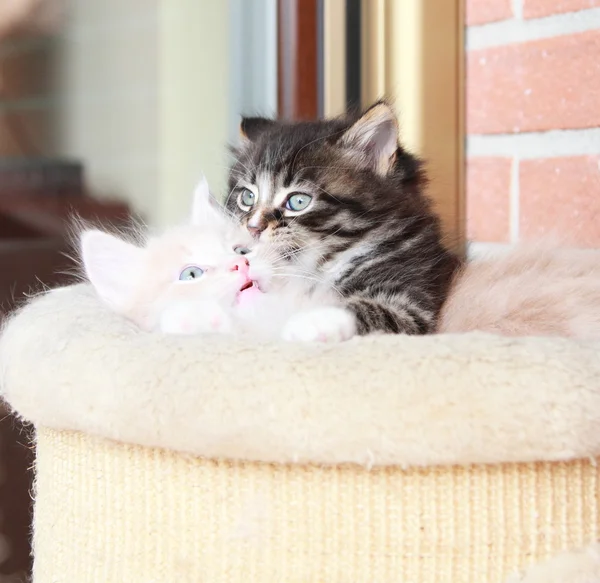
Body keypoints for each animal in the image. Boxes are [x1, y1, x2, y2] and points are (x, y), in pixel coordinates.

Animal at [225, 102, 460, 336]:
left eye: (299, 202)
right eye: (247, 197)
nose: (253, 227)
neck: (318, 269)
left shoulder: (414, 298)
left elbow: (370, 309)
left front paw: (307, 322)